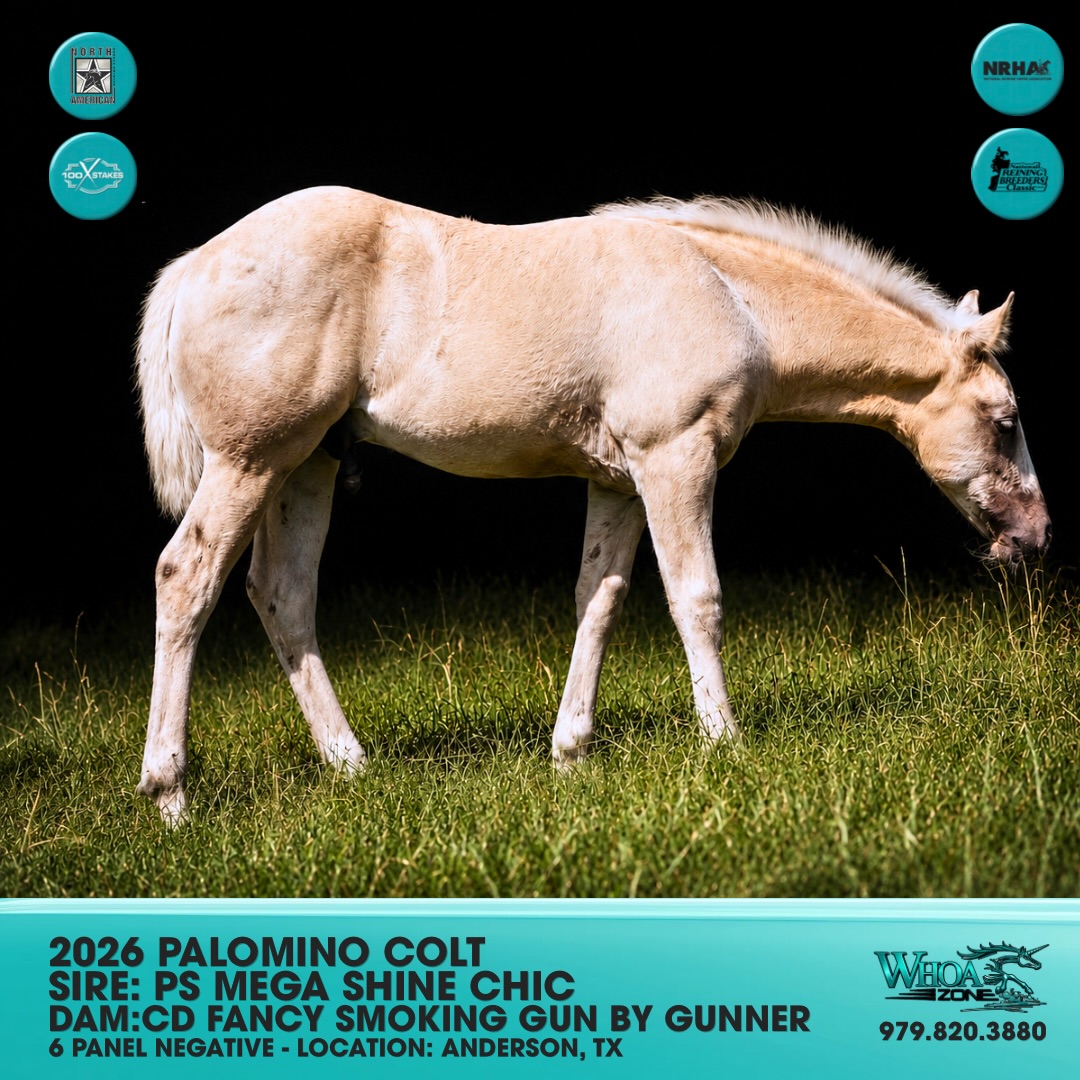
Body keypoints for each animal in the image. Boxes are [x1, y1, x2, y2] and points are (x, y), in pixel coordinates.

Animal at [136, 188, 1050, 823]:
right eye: (1006, 421)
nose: (1036, 535)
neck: (730, 295)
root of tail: (196, 264)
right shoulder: (675, 459)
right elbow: (696, 598)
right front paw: (725, 743)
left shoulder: (617, 480)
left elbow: (599, 601)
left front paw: (571, 751)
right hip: (250, 462)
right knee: (187, 578)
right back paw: (170, 794)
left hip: (307, 467)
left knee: (283, 596)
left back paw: (352, 764)